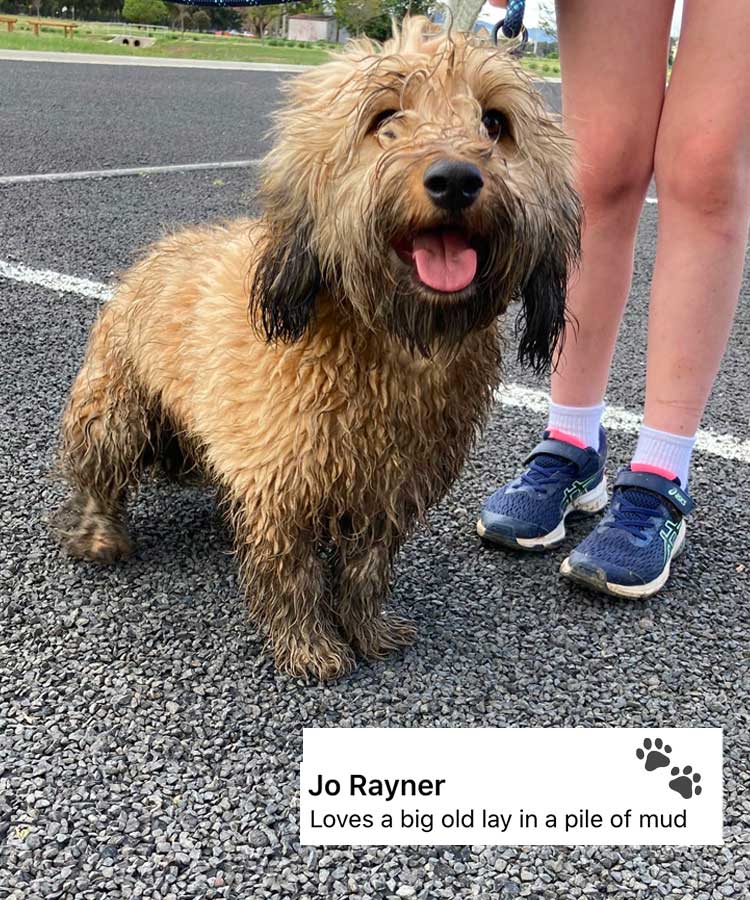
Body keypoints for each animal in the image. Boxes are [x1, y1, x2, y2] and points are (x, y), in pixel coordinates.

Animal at [55, 17, 580, 680]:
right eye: (385, 117)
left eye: (494, 122)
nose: (456, 179)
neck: (390, 338)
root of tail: (154, 253)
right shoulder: (284, 483)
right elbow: (292, 572)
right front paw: (307, 645)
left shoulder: (390, 490)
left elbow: (366, 569)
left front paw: (366, 628)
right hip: (114, 409)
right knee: (100, 474)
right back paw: (99, 535)